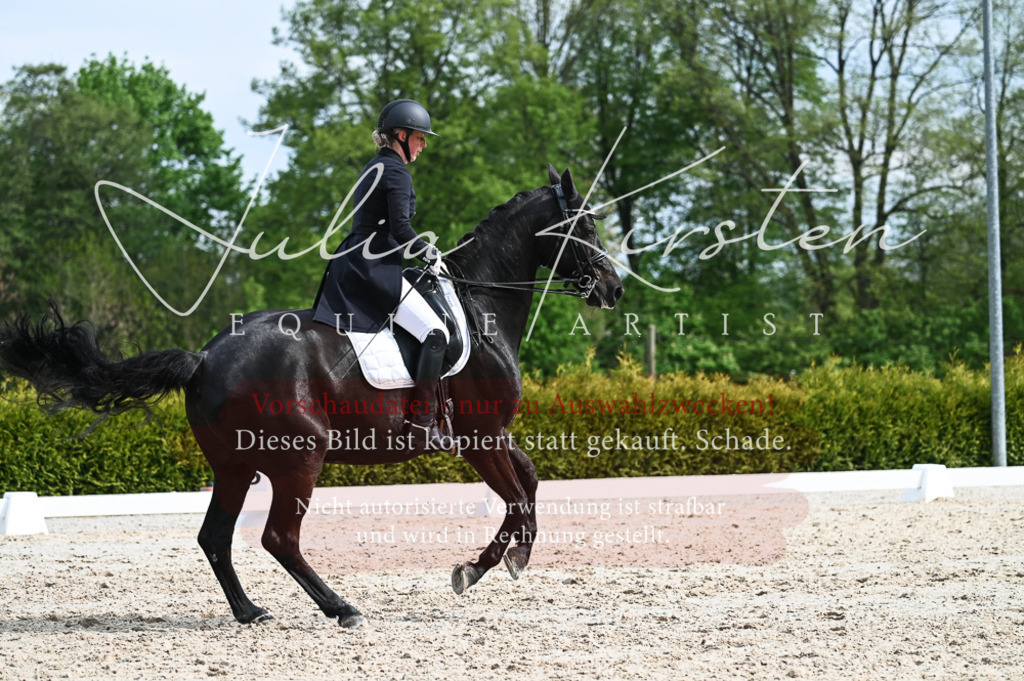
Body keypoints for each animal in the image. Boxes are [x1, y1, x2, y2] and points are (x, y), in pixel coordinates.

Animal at [0, 164, 623, 628]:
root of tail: (205, 357)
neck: (480, 305)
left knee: (215, 537)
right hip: (301, 456)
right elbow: (515, 497)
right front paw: (484, 566)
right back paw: (341, 608)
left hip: (235, 465)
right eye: (586, 228)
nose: (614, 289)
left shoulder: (492, 435)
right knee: (279, 538)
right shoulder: (479, 437)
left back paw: (250, 611)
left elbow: (531, 485)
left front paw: (504, 560)